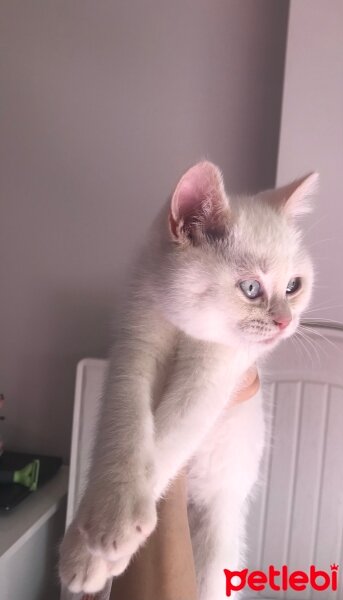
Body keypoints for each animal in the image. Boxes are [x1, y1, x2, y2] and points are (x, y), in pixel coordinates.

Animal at [58, 162, 318, 596]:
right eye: (251, 288)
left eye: (293, 286)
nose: (286, 321)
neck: (184, 327)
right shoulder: (134, 345)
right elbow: (125, 422)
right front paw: (98, 535)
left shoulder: (214, 377)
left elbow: (168, 440)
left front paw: (91, 549)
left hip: (218, 540)